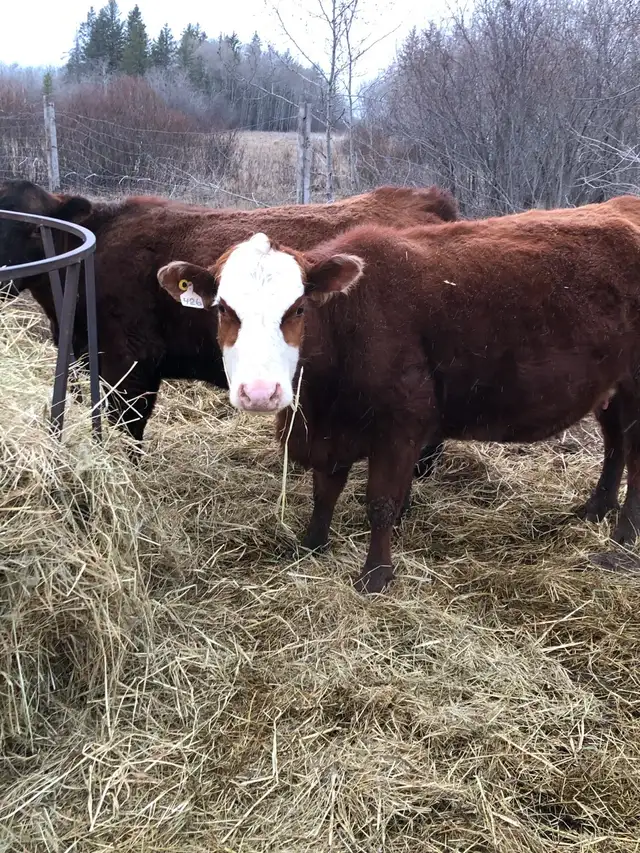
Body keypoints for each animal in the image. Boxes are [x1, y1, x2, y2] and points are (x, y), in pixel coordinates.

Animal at [157, 209, 640, 593]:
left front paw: (376, 575)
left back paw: (622, 540)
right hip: (613, 390)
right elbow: (324, 491)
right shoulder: (331, 429)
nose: (260, 393)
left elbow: (382, 502)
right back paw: (596, 509)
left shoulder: (400, 426)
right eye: (223, 308)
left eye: (298, 309)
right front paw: (311, 546)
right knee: (615, 445)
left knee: (634, 458)